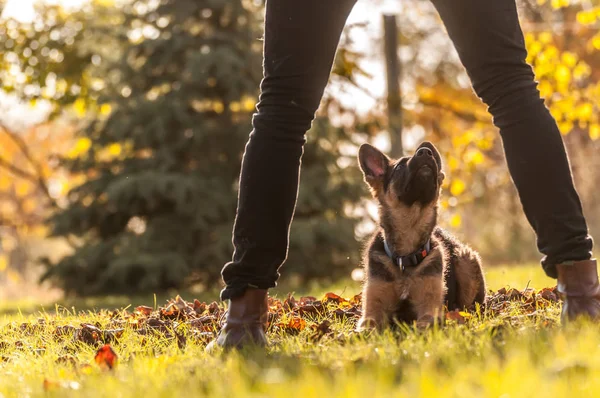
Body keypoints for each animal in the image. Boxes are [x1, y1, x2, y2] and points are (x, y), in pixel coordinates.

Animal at [354, 141, 486, 332]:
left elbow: (425, 323)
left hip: (465, 260)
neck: (405, 259)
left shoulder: (429, 306)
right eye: (399, 167)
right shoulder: (372, 309)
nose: (425, 152)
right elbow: (368, 325)